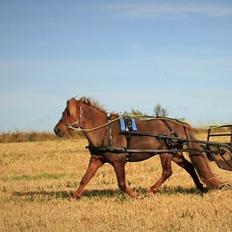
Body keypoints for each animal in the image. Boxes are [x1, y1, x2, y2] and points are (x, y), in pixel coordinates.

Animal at [53, 97, 222, 198]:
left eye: (67, 113)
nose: (57, 130)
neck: (105, 131)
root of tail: (178, 124)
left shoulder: (119, 162)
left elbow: (121, 184)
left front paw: (135, 195)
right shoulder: (96, 159)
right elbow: (85, 179)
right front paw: (74, 197)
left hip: (165, 153)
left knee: (167, 172)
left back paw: (151, 190)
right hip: (174, 154)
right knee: (189, 167)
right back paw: (201, 187)